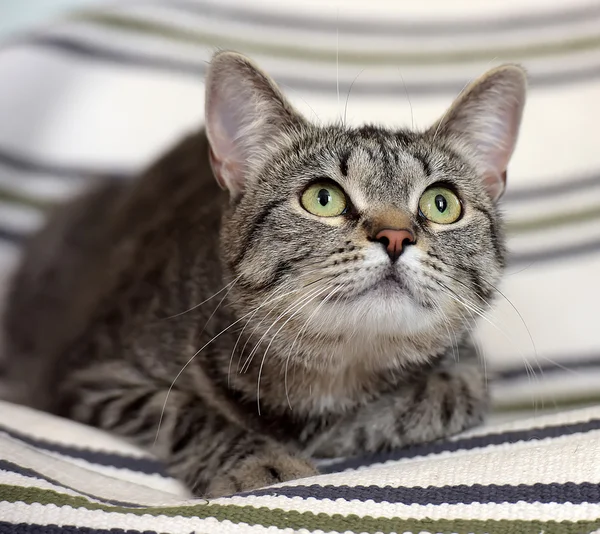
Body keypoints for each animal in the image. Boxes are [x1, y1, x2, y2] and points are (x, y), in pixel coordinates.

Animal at [1, 52, 524, 500]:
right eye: (323, 198)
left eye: (441, 203)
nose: (395, 236)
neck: (334, 369)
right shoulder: (91, 375)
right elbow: (186, 412)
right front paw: (261, 460)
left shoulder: (467, 368)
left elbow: (439, 396)